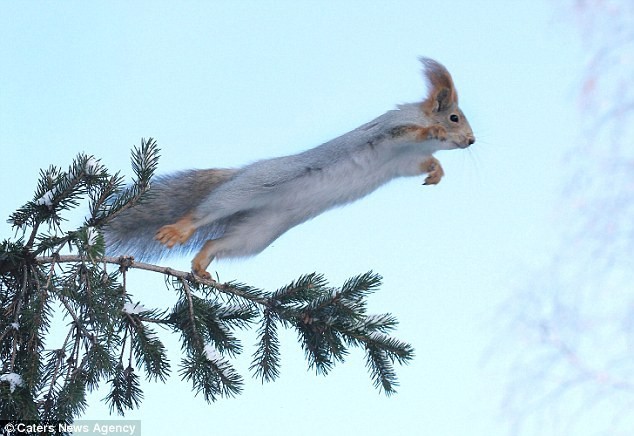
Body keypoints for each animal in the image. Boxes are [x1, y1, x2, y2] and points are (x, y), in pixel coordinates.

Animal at [106, 57, 474, 280]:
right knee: (203, 213)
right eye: (454, 117)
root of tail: (241, 173)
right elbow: (407, 133)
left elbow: (421, 165)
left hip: (258, 233)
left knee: (216, 243)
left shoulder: (405, 162)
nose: (471, 140)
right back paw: (179, 229)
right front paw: (434, 133)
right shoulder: (393, 129)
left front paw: (436, 171)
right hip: (249, 189)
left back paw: (200, 265)